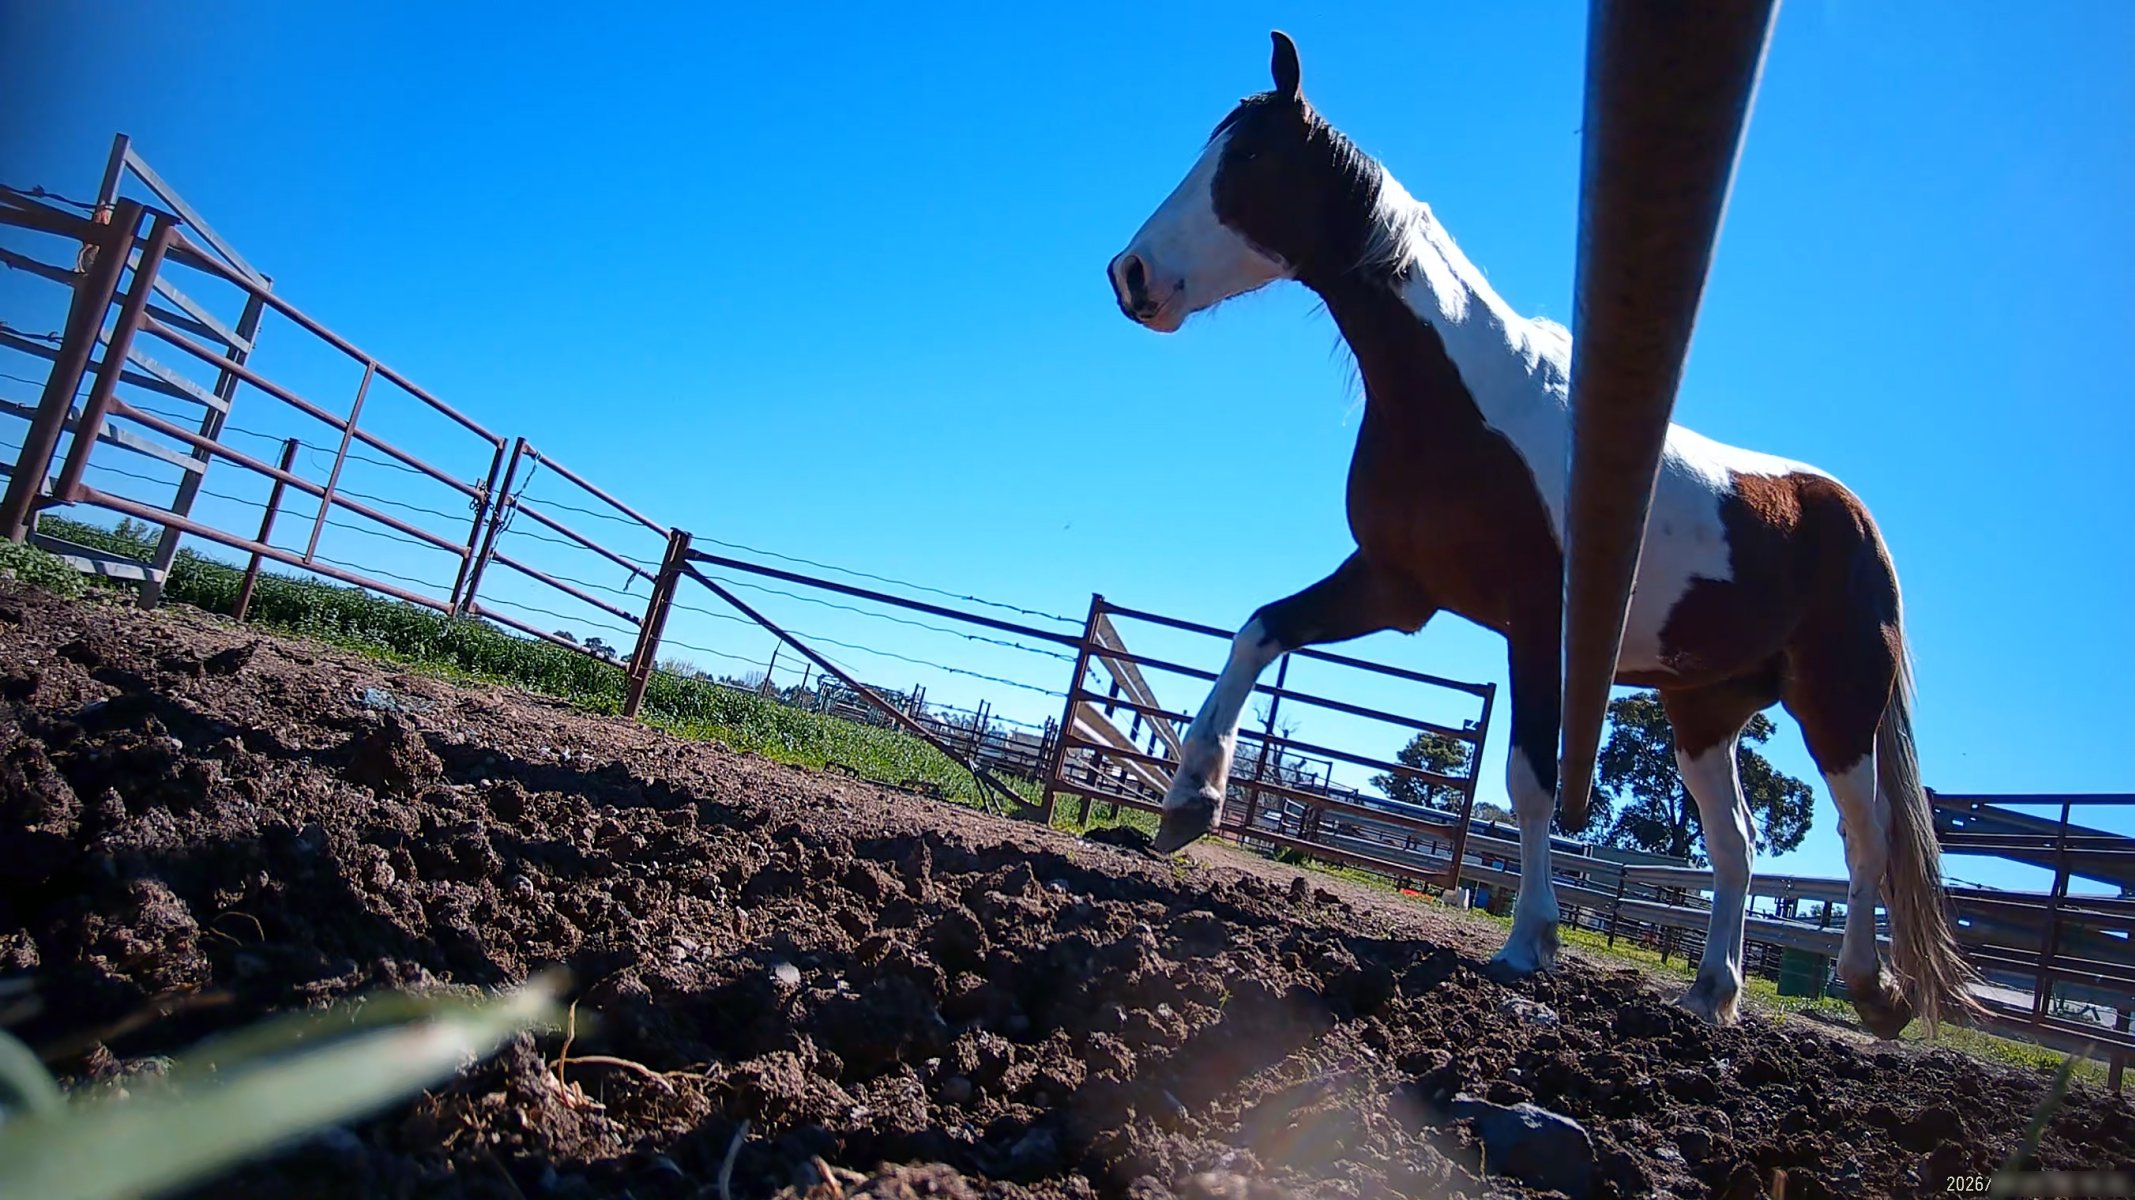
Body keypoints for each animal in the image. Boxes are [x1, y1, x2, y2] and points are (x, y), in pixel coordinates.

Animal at [1103, 30, 1982, 1038]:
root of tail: (1853, 518)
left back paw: (1872, 989)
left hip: (1837, 704)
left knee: (1864, 836)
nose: (1129, 275)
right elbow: (1258, 630)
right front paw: (1190, 800)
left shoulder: (1535, 626)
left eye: (1247, 157)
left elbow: (1527, 781)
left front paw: (1528, 943)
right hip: (1703, 712)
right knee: (1736, 845)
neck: (1463, 401)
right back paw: (1711, 991)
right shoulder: (1393, 587)